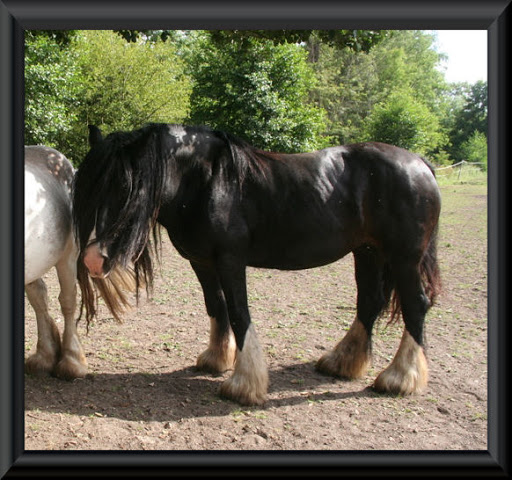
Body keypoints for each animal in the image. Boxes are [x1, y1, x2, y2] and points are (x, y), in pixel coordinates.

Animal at [73, 124, 444, 404]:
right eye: (87, 188)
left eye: (127, 186)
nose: (92, 259)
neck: (207, 182)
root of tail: (420, 164)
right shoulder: (202, 262)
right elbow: (216, 306)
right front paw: (216, 360)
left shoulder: (230, 260)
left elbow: (239, 312)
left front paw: (243, 384)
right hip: (367, 251)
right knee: (369, 302)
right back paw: (342, 363)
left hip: (403, 257)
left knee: (415, 305)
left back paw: (399, 378)